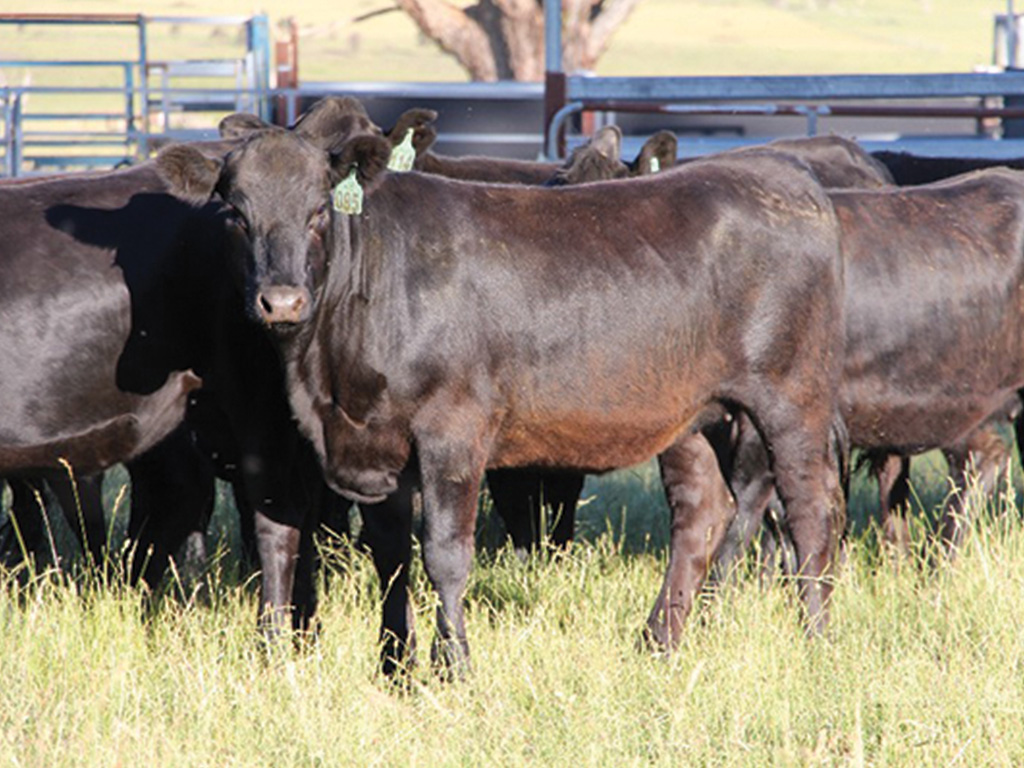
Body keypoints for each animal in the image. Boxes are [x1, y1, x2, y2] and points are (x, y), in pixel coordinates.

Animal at [156, 126, 848, 676]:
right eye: (236, 214)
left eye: (319, 209)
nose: (281, 301)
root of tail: (782, 174)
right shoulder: (378, 443)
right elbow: (390, 556)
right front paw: (393, 667)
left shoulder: (453, 431)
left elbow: (443, 554)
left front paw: (454, 668)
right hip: (689, 415)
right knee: (702, 512)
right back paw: (656, 643)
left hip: (792, 397)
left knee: (812, 511)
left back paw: (814, 642)